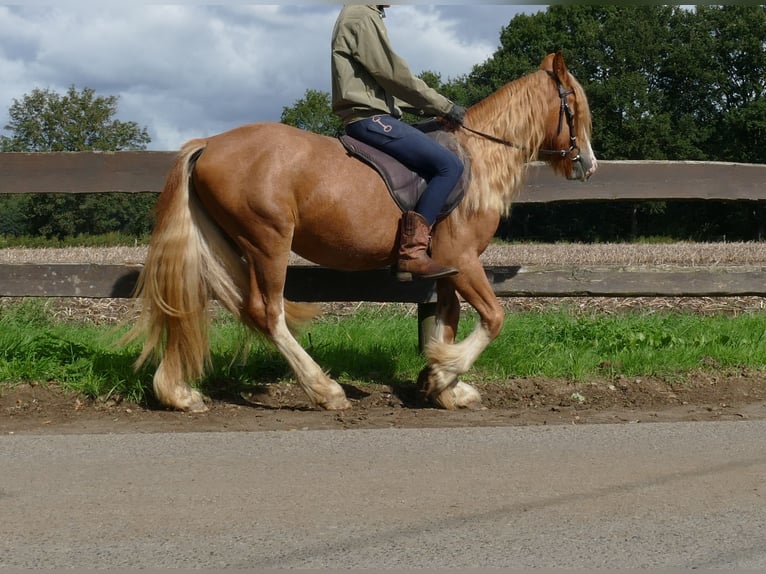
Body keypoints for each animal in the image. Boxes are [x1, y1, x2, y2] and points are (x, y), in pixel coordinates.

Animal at [125, 52, 597, 412]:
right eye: (572, 104)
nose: (588, 165)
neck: (478, 159)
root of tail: (209, 144)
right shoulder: (462, 260)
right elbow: (494, 318)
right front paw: (445, 374)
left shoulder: (447, 268)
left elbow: (447, 320)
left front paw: (443, 386)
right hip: (267, 241)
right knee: (267, 313)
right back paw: (325, 390)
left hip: (228, 243)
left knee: (191, 301)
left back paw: (179, 394)